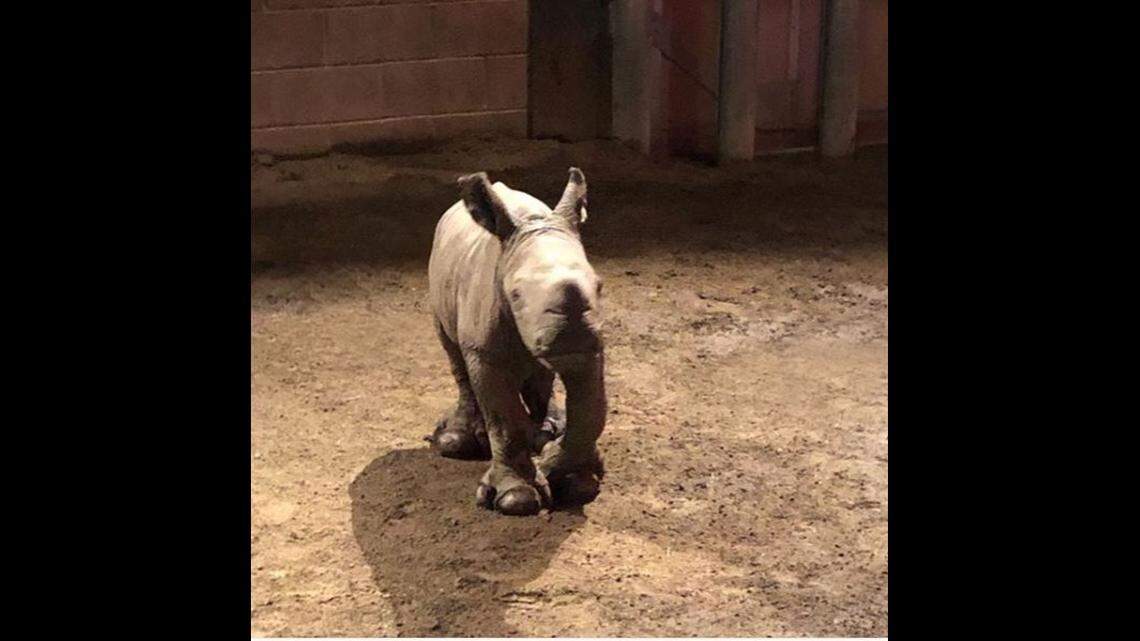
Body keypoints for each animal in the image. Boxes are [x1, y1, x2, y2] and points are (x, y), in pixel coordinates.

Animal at [426, 168, 606, 516]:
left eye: (599, 286)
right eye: (516, 294)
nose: (571, 334)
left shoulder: (590, 347)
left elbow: (590, 413)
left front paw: (566, 476)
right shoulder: (485, 353)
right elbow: (504, 421)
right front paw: (517, 499)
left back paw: (547, 431)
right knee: (454, 353)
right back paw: (457, 441)